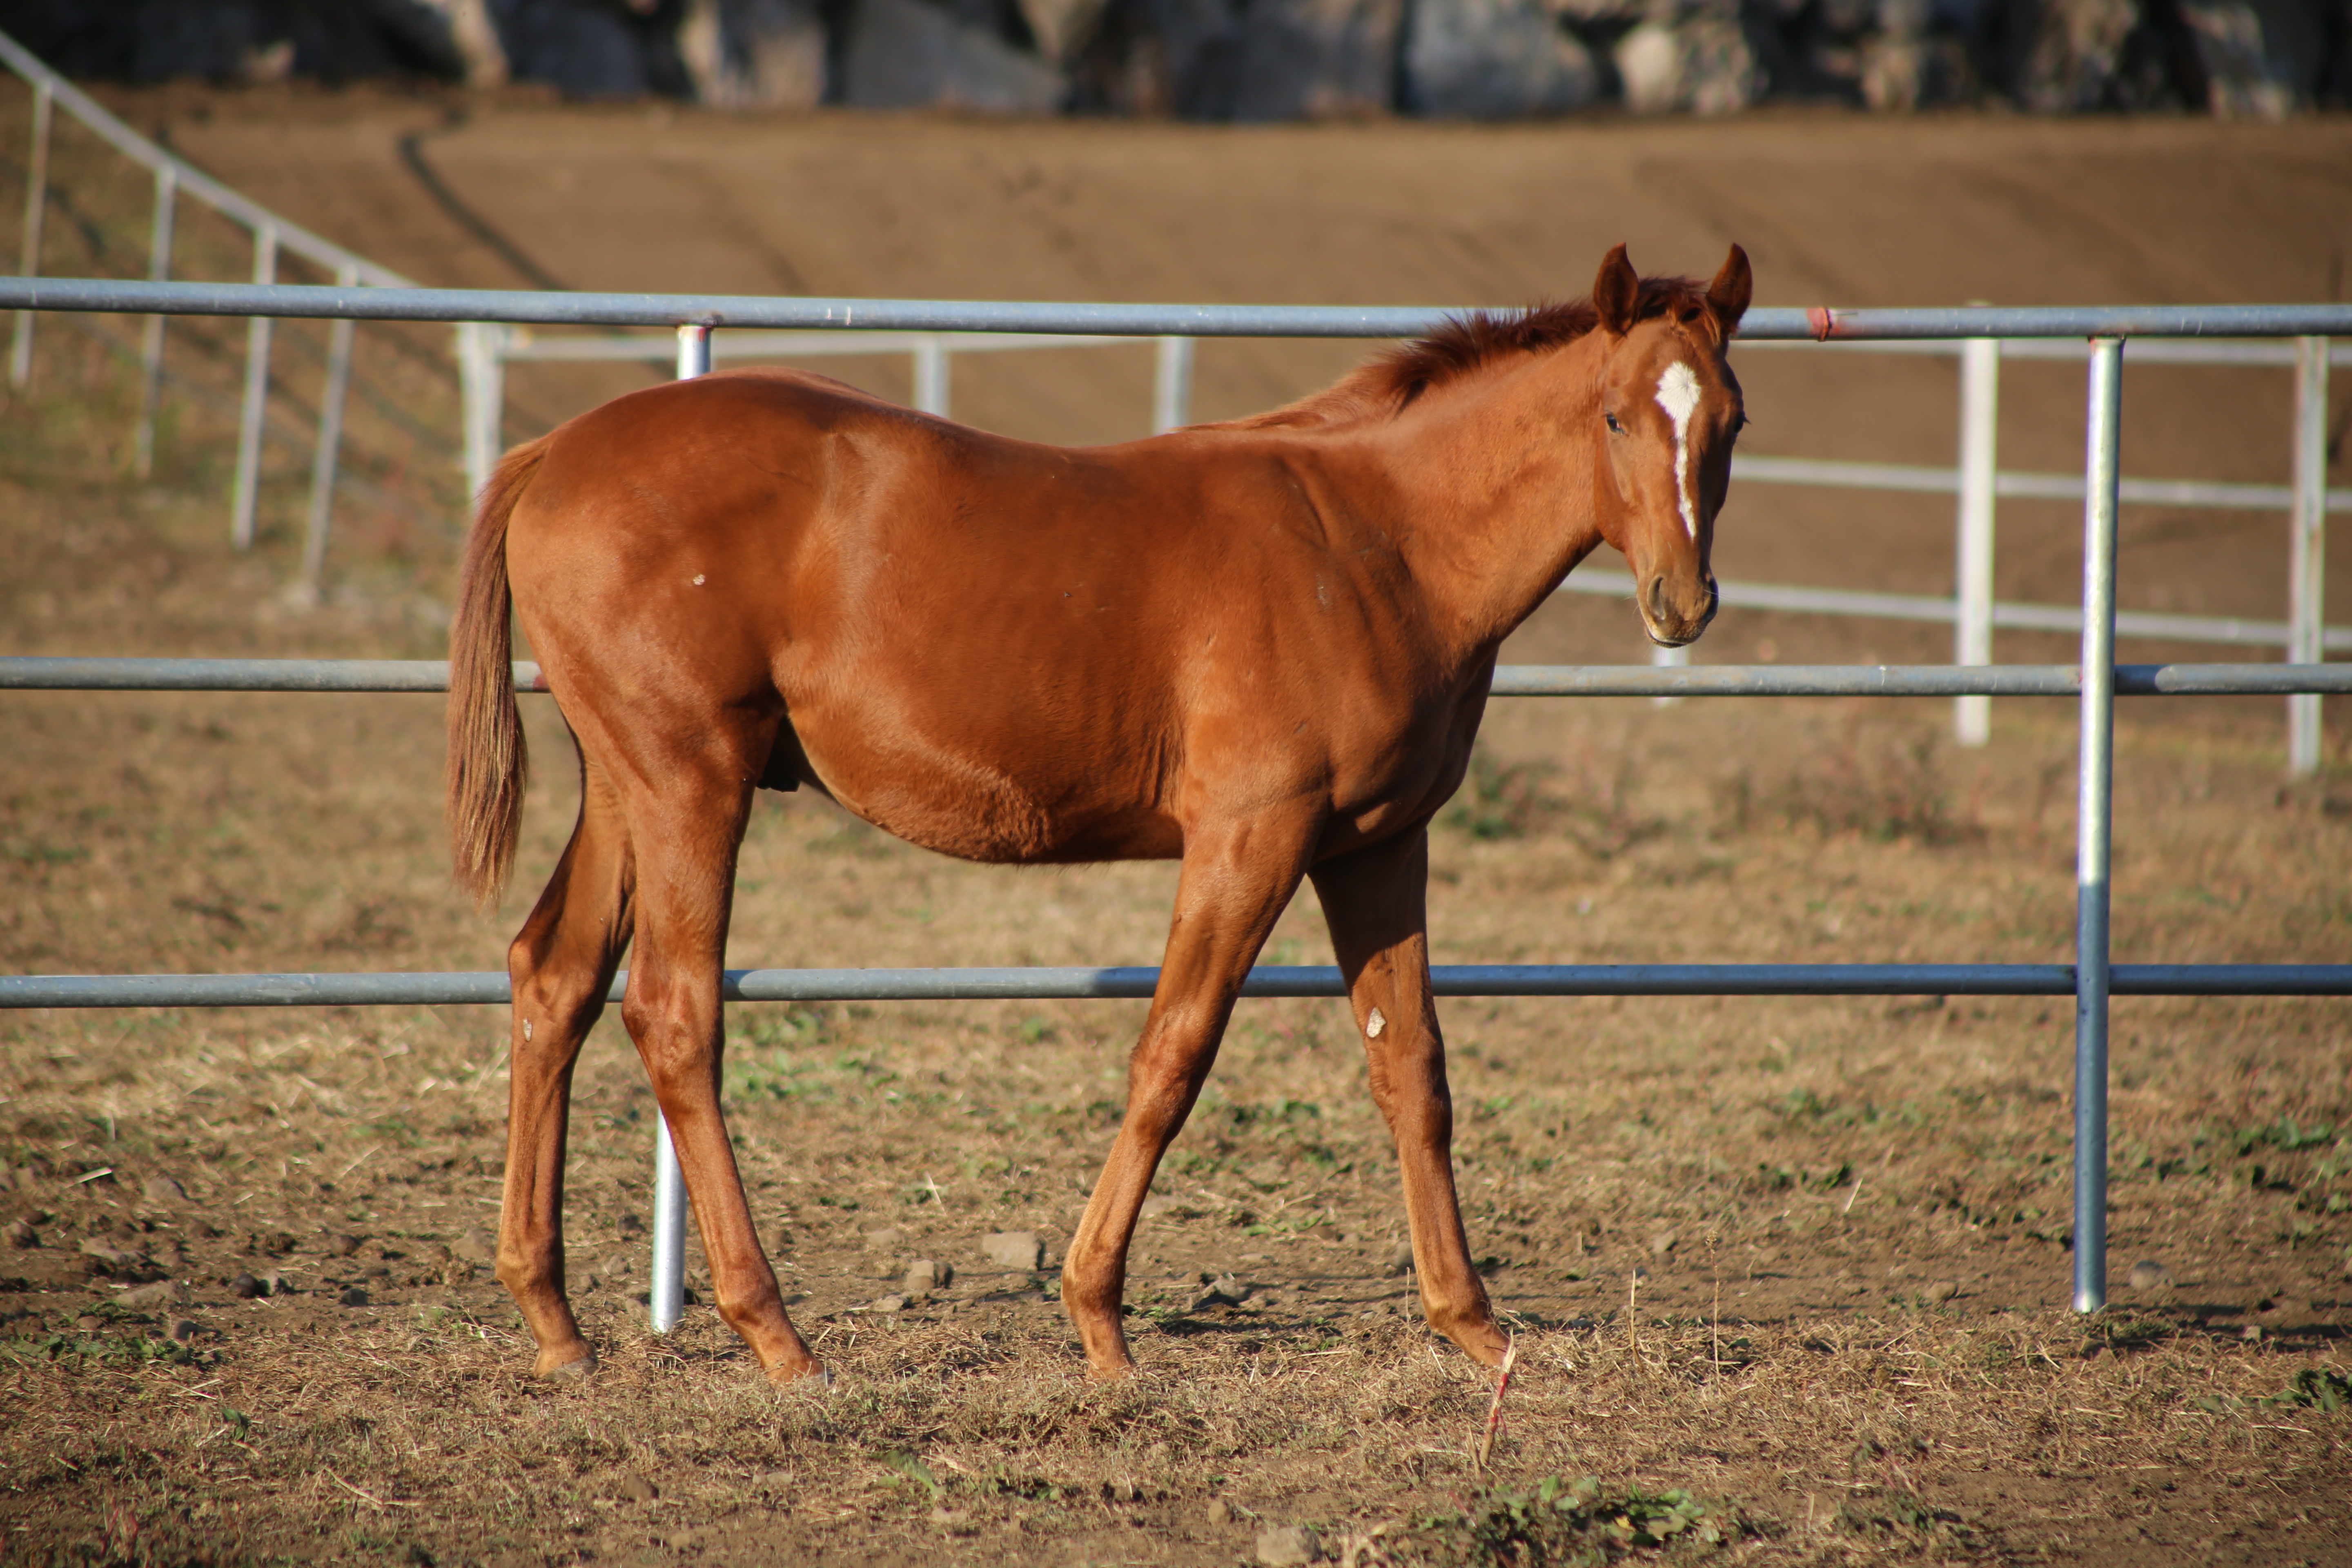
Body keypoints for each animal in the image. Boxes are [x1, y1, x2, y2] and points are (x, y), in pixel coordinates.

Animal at [449, 245, 1759, 1382]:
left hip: (628, 791)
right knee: (675, 1015)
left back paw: (555, 1319)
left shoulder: (1378, 846)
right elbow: (1171, 1056)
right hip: (691, 785)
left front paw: (1473, 1324)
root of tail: (554, 452)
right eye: (1613, 415)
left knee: (552, 979)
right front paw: (1098, 1320)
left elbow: (1412, 1070)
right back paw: (775, 1334)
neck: (1372, 542)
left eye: (1730, 421)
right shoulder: (1250, 837)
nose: (1681, 603)